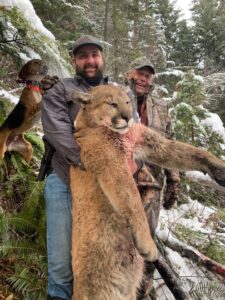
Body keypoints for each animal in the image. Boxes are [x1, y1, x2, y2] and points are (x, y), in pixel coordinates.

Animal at [70, 84, 225, 300]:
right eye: (111, 103)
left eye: (127, 102)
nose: (128, 117)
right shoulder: (112, 165)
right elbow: (133, 202)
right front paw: (148, 245)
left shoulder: (150, 142)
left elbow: (189, 151)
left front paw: (219, 168)